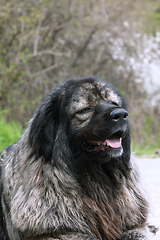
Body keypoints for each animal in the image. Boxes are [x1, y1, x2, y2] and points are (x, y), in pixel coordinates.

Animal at [0, 78, 155, 239]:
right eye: (87, 109)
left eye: (113, 103)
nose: (121, 114)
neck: (94, 177)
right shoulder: (57, 232)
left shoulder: (134, 226)